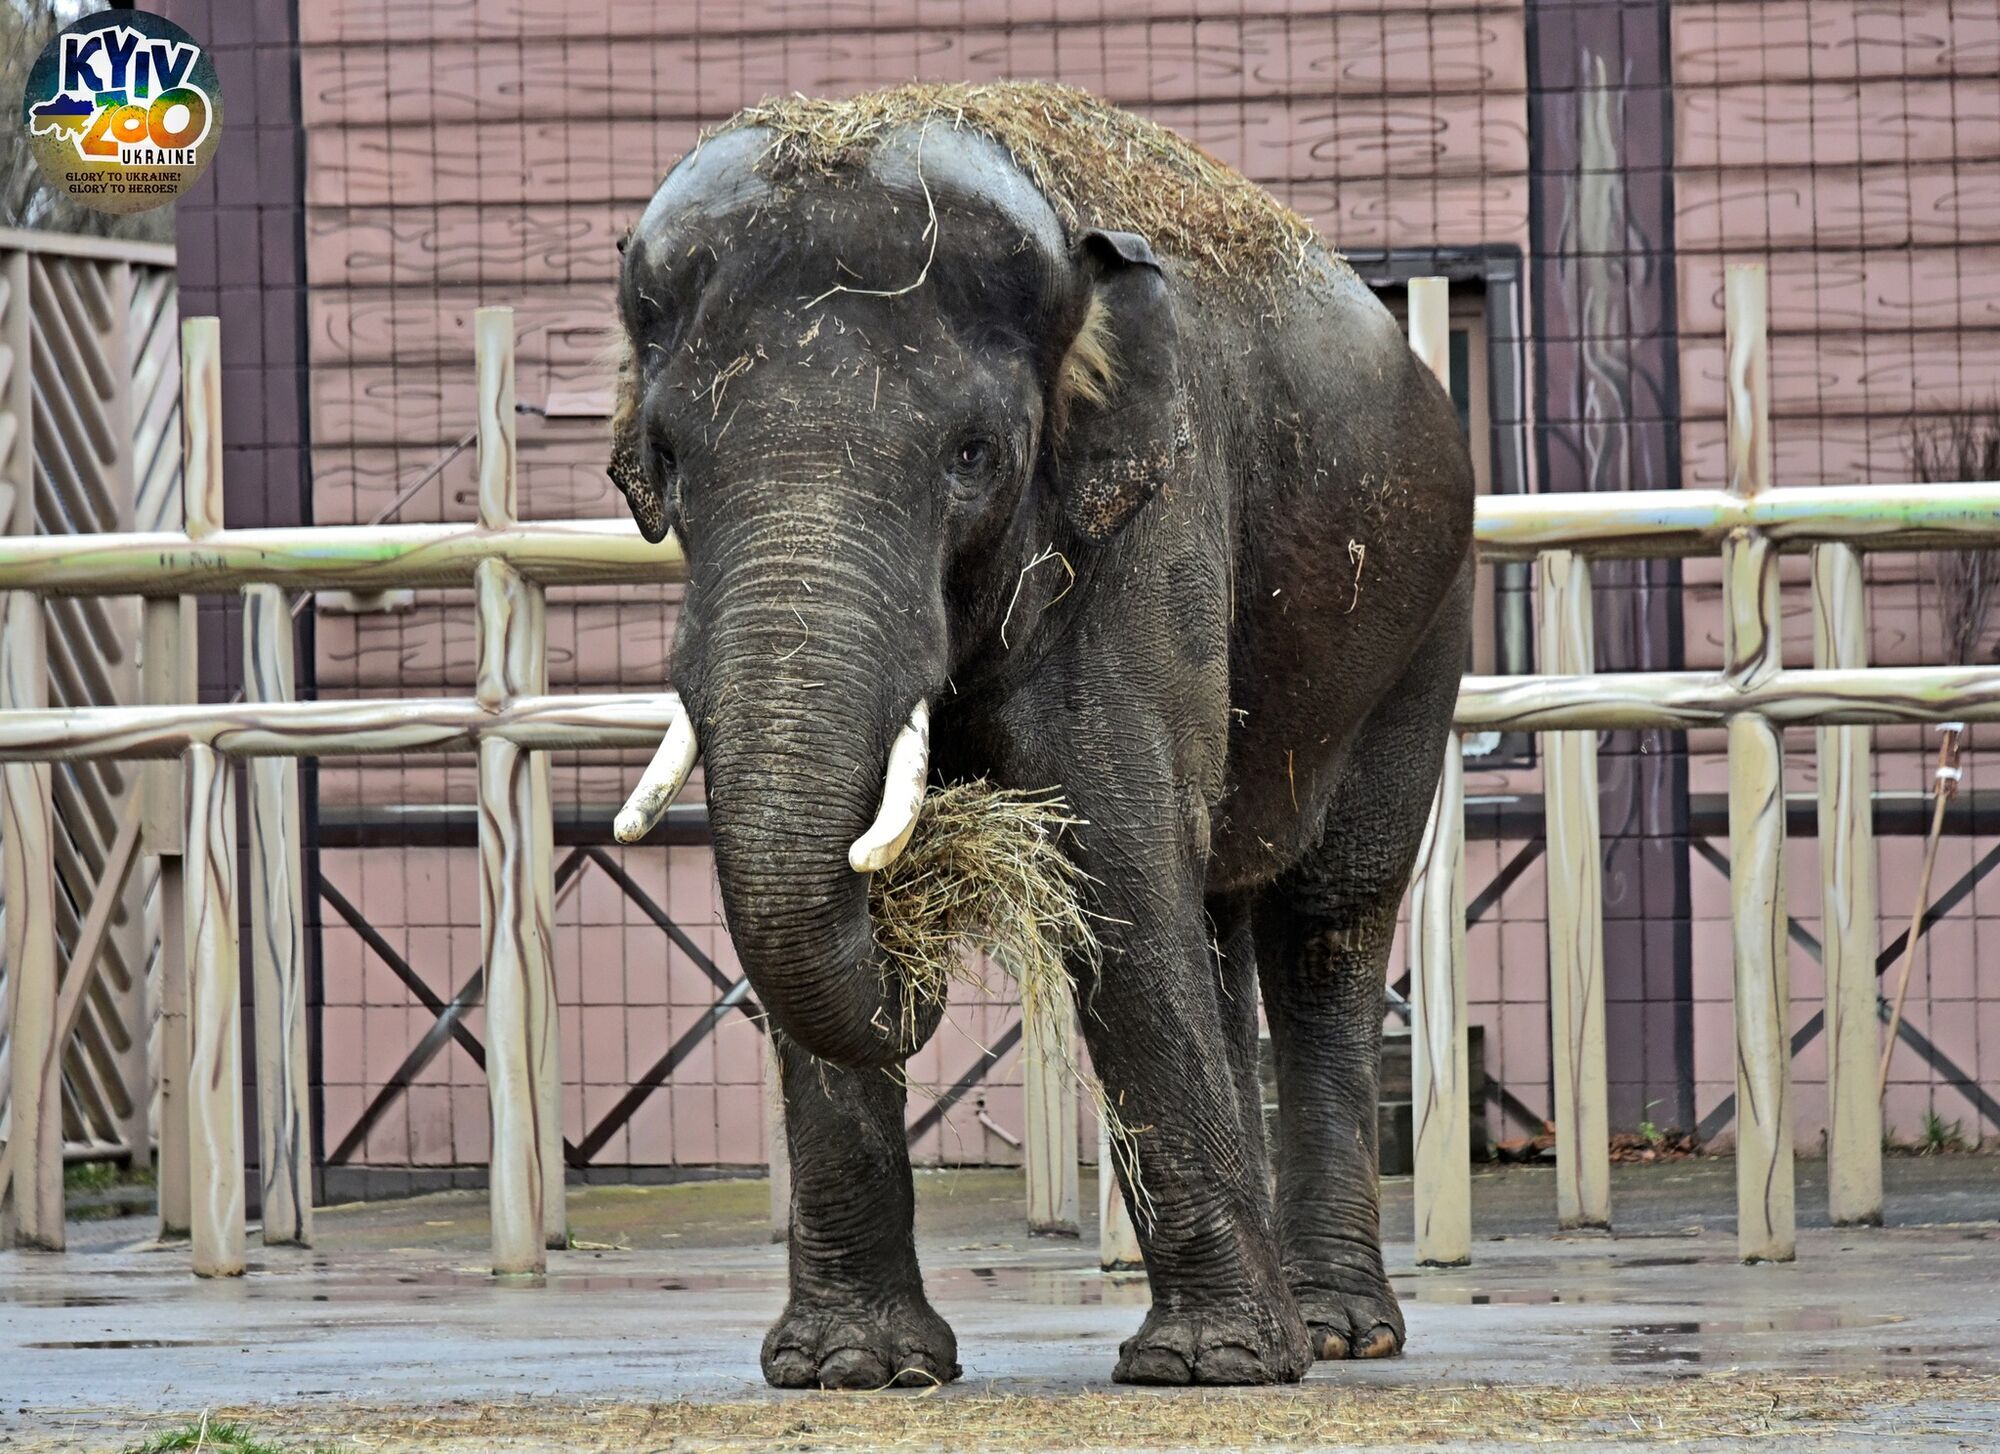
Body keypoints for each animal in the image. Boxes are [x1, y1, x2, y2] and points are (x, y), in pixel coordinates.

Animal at [604, 85, 1472, 1392]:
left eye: (971, 456)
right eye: (662, 460)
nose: (909, 937)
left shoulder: (1149, 526)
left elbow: (1114, 854)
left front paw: (1210, 1366)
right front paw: (853, 1368)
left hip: (1420, 621)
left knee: (1324, 919)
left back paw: (1331, 1329)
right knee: (1214, 914)